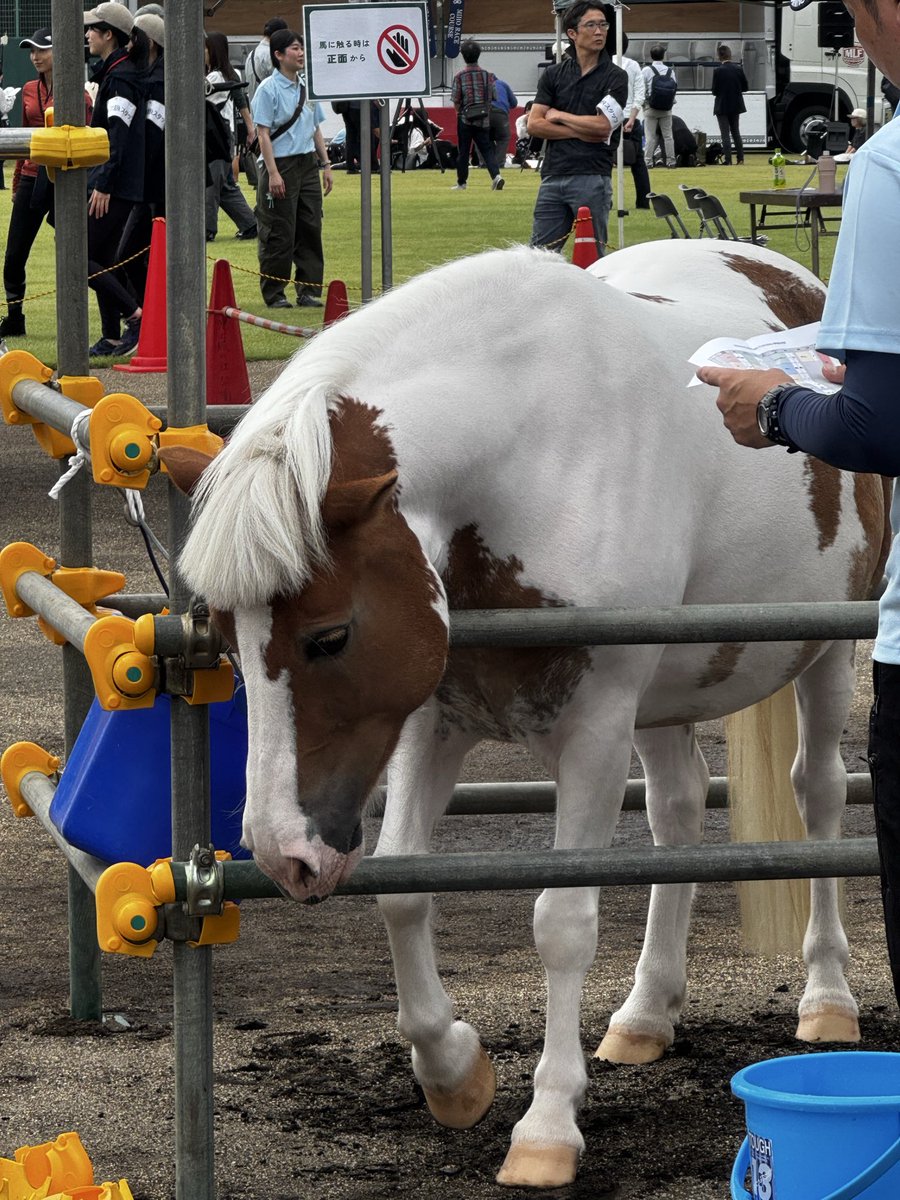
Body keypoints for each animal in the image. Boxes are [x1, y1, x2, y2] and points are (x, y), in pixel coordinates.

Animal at [160, 240, 890, 1190]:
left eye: (329, 635)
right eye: (221, 634)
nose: (286, 854)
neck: (530, 451)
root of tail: (787, 274)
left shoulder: (593, 731)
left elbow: (563, 924)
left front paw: (546, 1127)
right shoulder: (432, 720)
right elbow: (402, 888)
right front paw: (453, 1072)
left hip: (824, 651)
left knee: (820, 794)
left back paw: (827, 998)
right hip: (665, 696)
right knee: (678, 807)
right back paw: (646, 1013)